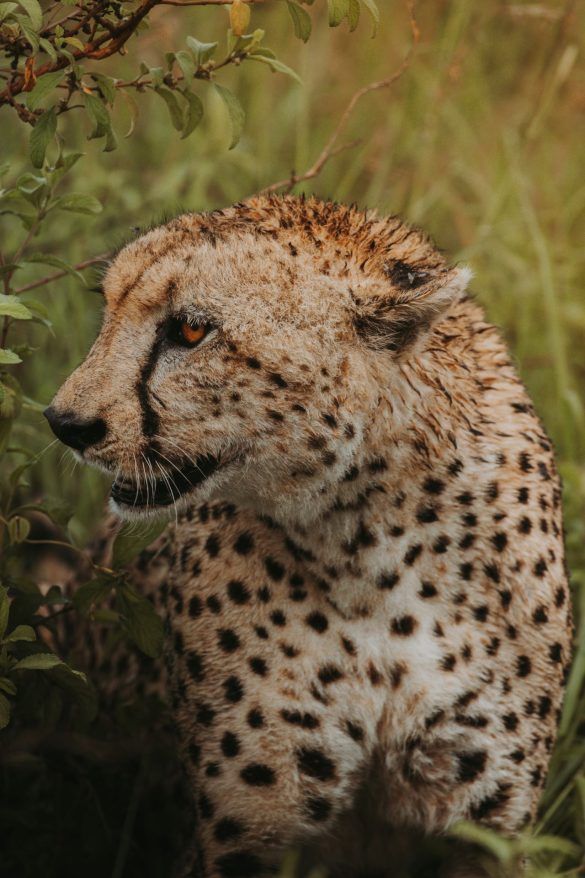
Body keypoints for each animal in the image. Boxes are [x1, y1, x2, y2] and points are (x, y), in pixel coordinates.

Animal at [45, 195, 572, 878]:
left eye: (189, 331)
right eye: (108, 308)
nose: (64, 422)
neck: (372, 537)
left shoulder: (485, 833)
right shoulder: (247, 838)